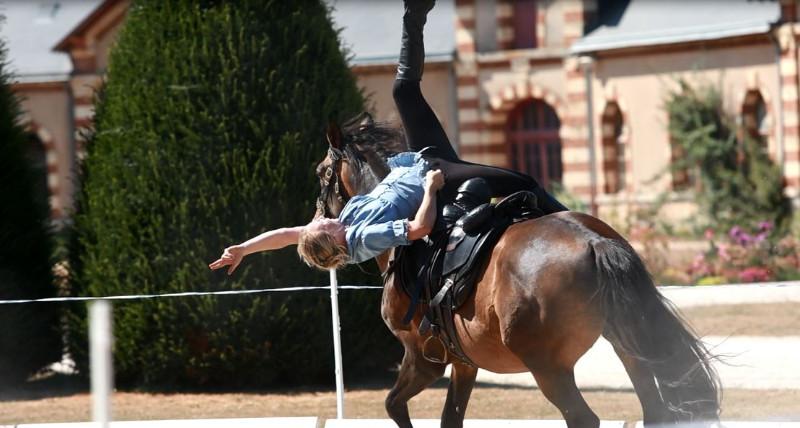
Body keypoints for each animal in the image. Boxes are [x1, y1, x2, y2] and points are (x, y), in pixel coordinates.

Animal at [316, 115, 720, 426]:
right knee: (653, 410)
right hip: (627, 347)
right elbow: (449, 418)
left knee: (583, 418)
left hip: (549, 368)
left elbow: (393, 405)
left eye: (321, 172)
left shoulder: (422, 358)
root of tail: (593, 241)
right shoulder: (462, 364)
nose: (319, 214)